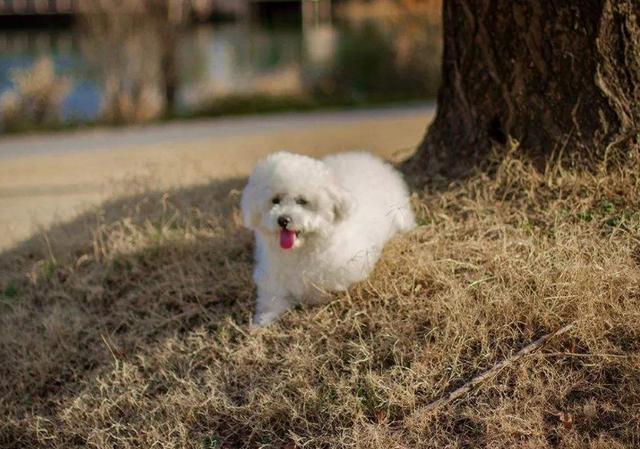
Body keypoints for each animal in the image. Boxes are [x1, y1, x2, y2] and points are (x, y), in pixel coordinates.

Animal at [240, 151, 416, 326]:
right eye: (275, 200)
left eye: (301, 201)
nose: (283, 220)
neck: (302, 250)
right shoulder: (273, 280)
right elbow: (272, 302)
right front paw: (261, 323)